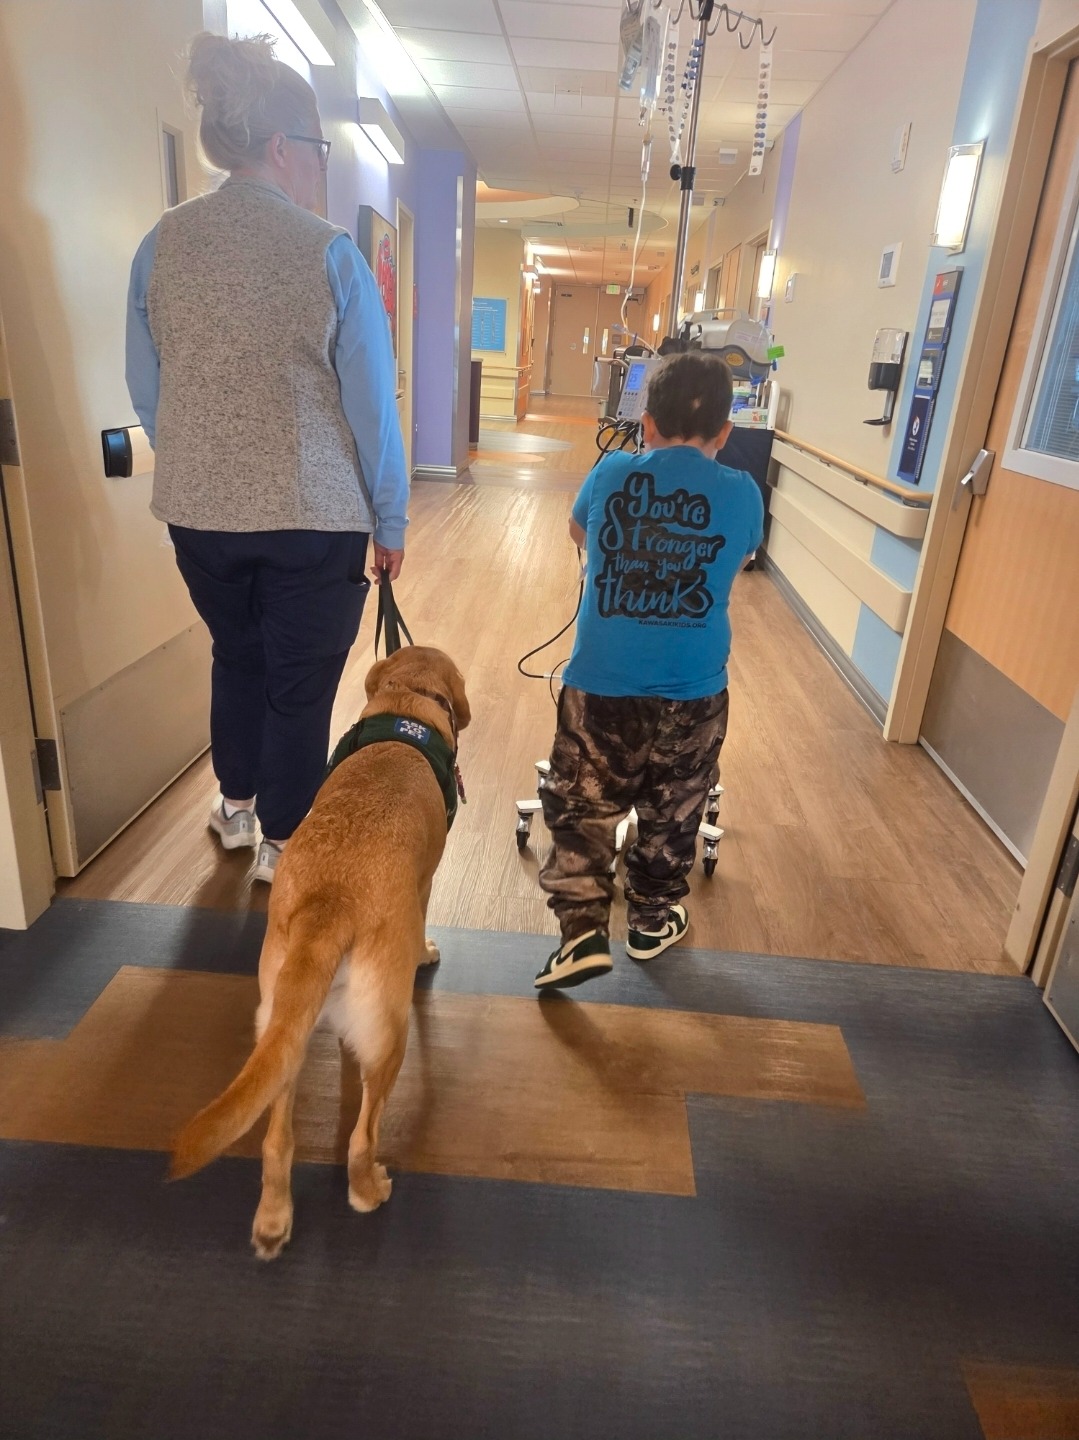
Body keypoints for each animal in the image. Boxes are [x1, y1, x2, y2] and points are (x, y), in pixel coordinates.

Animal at [170, 645, 470, 1260]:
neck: (408, 701)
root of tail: (331, 904)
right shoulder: (426, 882)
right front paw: (427, 949)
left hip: (281, 1033)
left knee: (276, 1141)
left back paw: (273, 1218)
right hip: (390, 1039)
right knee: (361, 1137)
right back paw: (369, 1189)